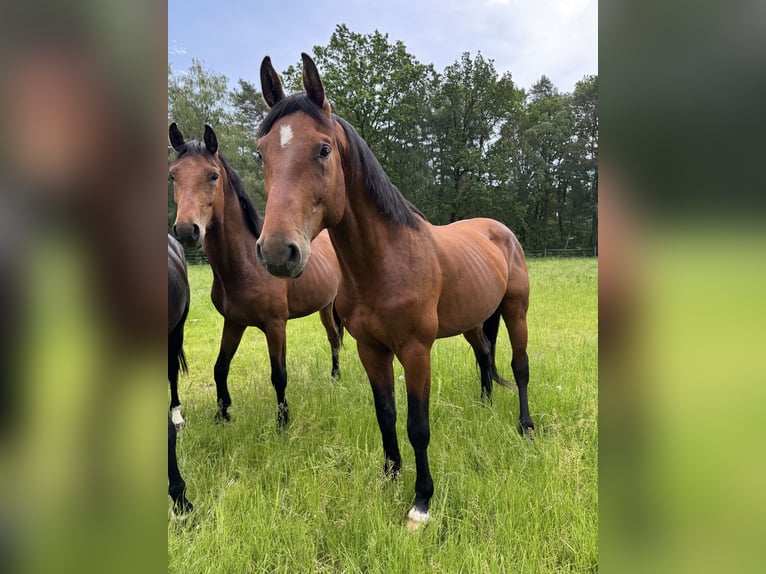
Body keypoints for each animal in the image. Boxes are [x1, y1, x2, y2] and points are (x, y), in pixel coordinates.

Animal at [169, 123, 344, 429]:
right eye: (173, 175)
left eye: (212, 175)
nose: (187, 230)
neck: (246, 266)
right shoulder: (234, 323)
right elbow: (220, 367)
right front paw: (222, 416)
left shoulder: (275, 326)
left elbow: (279, 375)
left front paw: (282, 424)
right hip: (324, 306)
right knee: (333, 337)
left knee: (334, 338)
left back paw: (336, 379)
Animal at [254, 54, 533, 530]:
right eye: (261, 152)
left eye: (323, 149)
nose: (277, 251)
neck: (385, 264)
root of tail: (499, 230)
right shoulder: (371, 349)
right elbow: (386, 415)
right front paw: (389, 476)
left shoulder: (416, 350)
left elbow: (417, 425)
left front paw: (421, 502)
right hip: (473, 320)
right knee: (484, 354)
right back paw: (484, 405)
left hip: (515, 311)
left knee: (519, 365)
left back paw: (526, 428)